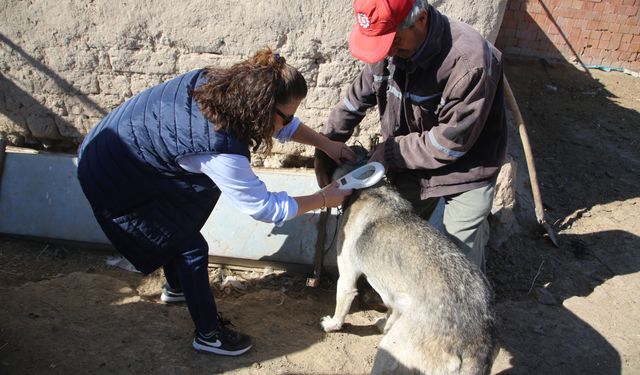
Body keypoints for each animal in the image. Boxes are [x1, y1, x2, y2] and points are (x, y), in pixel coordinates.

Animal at [322, 148, 498, 375]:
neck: (371, 188)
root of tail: (475, 344)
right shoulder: (396, 295)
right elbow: (390, 313)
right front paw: (383, 324)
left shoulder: (347, 279)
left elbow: (341, 309)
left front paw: (331, 325)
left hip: (388, 353)